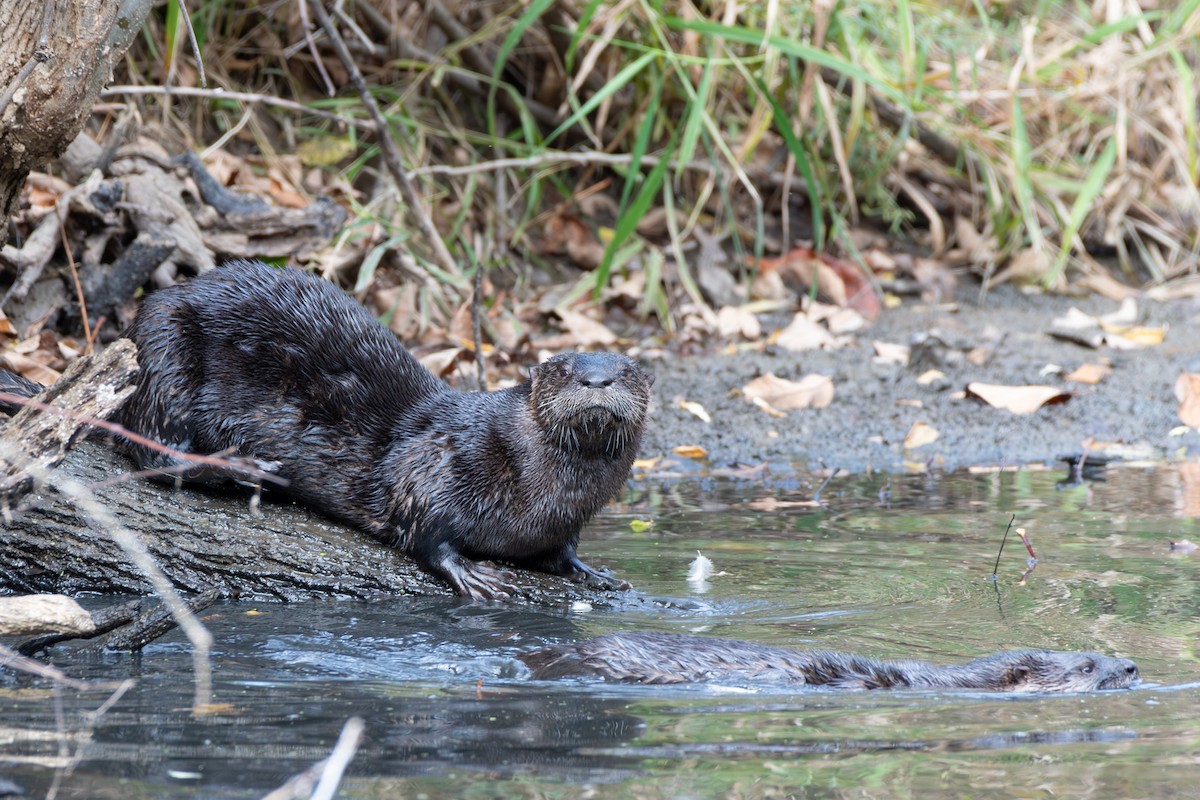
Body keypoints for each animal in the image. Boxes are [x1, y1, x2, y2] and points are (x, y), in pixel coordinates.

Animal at [3, 261, 653, 599]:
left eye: (625, 371)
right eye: (564, 369)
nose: (596, 378)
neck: (548, 493)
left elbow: (563, 551)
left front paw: (589, 569)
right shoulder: (443, 458)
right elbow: (424, 526)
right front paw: (469, 570)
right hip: (164, 351)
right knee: (159, 453)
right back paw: (246, 469)